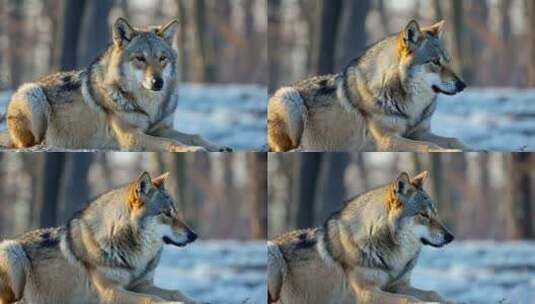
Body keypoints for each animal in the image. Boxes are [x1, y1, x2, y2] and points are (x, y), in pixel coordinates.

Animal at [0, 172, 201, 302]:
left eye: (176, 213)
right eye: (166, 214)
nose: (194, 235)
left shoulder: (141, 285)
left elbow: (176, 292)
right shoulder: (111, 292)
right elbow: (153, 299)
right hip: (11, 250)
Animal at [4, 17, 230, 152]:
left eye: (162, 58)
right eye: (140, 59)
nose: (157, 82)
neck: (148, 107)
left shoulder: (160, 128)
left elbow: (194, 136)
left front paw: (216, 146)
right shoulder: (131, 137)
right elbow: (171, 142)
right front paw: (192, 150)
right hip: (32, 93)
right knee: (27, 144)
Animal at [268, 19, 468, 151]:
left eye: (447, 61)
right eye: (435, 62)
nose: (463, 84)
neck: (411, 106)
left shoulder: (419, 132)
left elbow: (454, 141)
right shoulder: (388, 140)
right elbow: (430, 146)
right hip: (288, 97)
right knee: (287, 148)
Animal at [270, 172, 454, 302]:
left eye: (435, 214)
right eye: (423, 215)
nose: (450, 236)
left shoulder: (399, 286)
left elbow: (433, 294)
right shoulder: (368, 292)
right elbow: (409, 300)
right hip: (273, 253)